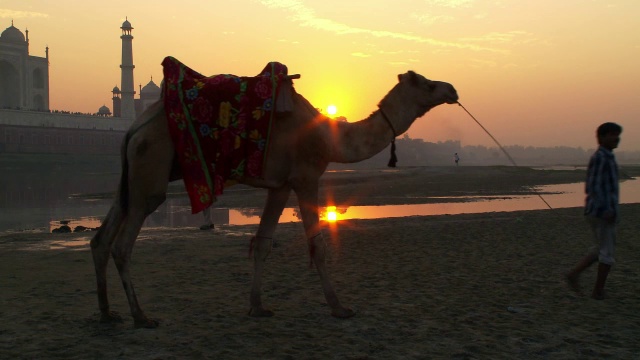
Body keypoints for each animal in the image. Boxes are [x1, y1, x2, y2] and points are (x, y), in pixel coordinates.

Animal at [91, 68, 460, 330]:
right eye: (428, 84)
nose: (452, 90)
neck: (331, 137)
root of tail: (131, 129)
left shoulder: (279, 186)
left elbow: (263, 243)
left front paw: (257, 306)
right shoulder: (306, 177)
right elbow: (317, 246)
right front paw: (339, 307)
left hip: (131, 177)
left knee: (101, 237)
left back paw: (108, 314)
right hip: (150, 172)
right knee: (122, 244)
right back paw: (141, 316)